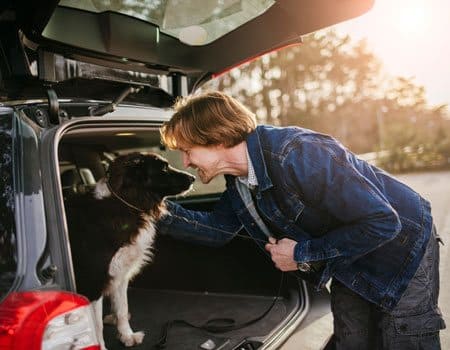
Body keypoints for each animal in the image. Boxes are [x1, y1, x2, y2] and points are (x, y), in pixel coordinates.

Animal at [63, 152, 195, 348]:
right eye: (163, 168)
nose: (193, 178)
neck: (124, 203)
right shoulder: (93, 281)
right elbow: (96, 324)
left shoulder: (120, 273)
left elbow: (122, 309)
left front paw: (127, 335)